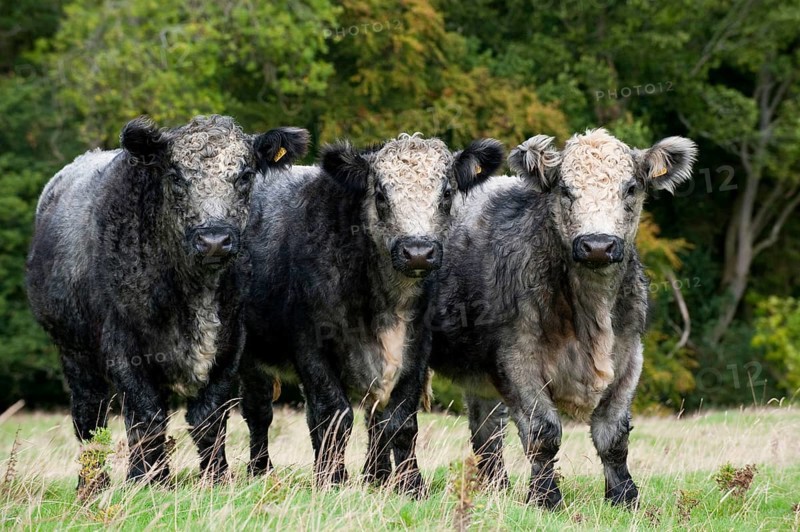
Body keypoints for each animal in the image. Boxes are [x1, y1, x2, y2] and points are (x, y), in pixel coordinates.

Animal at [26, 115, 309, 488]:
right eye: (175, 175)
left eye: (245, 175)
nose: (214, 240)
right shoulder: (123, 346)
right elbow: (145, 416)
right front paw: (143, 480)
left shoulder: (231, 343)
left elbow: (208, 416)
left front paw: (216, 477)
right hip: (73, 349)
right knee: (89, 414)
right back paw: (94, 483)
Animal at [239, 133, 504, 494]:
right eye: (380, 194)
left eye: (447, 193)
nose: (417, 251)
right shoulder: (310, 345)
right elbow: (333, 414)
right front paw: (332, 480)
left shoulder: (417, 346)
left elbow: (400, 420)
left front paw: (409, 485)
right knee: (259, 410)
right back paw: (260, 470)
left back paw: (375, 476)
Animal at [427, 129, 697, 508]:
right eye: (565, 189)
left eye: (631, 187)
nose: (597, 245)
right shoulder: (517, 359)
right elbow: (543, 432)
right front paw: (545, 498)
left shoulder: (630, 358)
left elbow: (614, 435)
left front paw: (625, 497)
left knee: (486, 429)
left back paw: (496, 489)